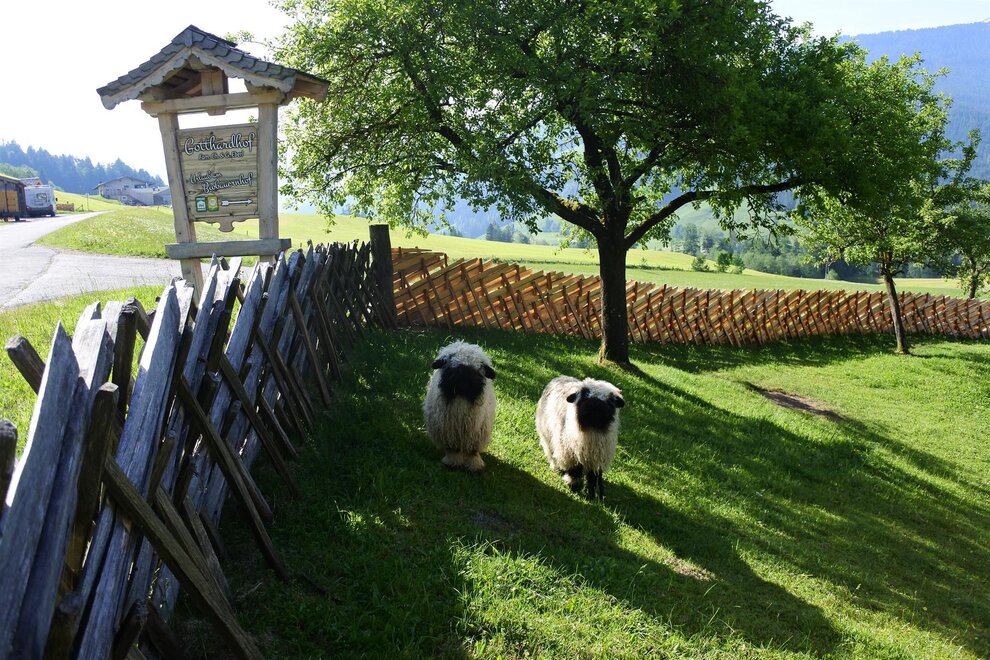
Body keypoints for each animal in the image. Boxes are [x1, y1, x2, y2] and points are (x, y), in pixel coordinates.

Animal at [423, 340, 497, 472]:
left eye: (478, 368)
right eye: (451, 361)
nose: (463, 377)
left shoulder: (476, 433)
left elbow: (473, 451)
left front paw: (474, 465)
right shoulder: (449, 432)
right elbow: (453, 450)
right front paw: (453, 462)